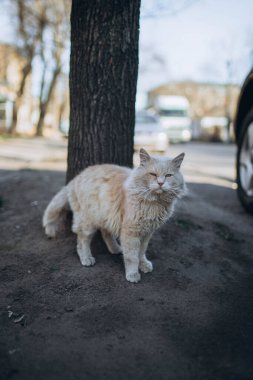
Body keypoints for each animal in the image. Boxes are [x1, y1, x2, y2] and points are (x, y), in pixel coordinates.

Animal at [43, 148, 186, 282]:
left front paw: (143, 265)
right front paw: (133, 274)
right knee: (82, 241)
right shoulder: (131, 232)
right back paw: (86, 258)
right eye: (153, 174)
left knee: (105, 232)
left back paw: (115, 248)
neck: (154, 203)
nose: (160, 183)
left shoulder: (147, 232)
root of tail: (76, 178)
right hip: (88, 222)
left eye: (168, 175)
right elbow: (132, 257)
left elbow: (141, 253)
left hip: (106, 214)